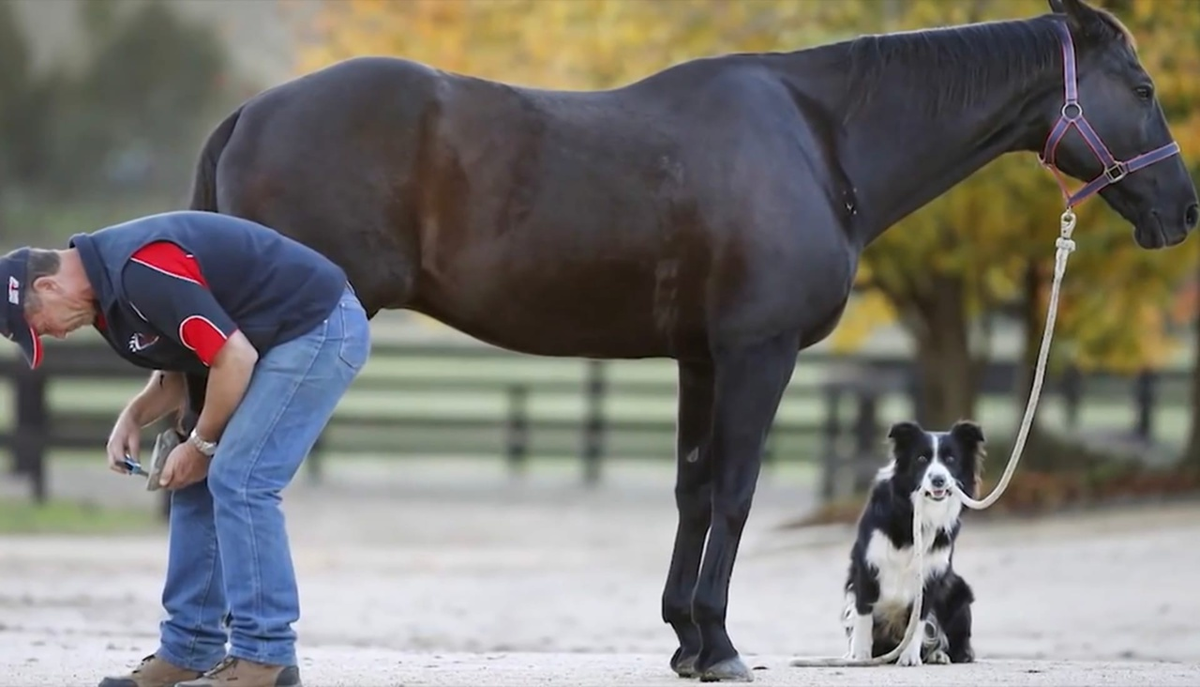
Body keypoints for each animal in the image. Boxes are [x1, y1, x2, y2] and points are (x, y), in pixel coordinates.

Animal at [840, 417, 988, 667]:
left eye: (951, 459)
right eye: (921, 459)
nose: (938, 480)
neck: (916, 514)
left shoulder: (930, 575)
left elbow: (919, 619)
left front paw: (910, 657)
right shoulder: (866, 567)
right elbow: (863, 616)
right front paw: (859, 655)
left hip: (958, 591)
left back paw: (939, 655)